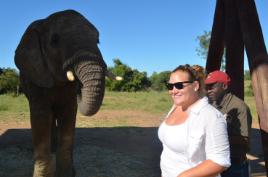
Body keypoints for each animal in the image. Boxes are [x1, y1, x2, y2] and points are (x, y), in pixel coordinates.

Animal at [14, 9, 113, 177]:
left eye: (98, 40)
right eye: (54, 40)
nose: (80, 87)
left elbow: (68, 113)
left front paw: (67, 174)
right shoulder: (36, 76)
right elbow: (40, 116)